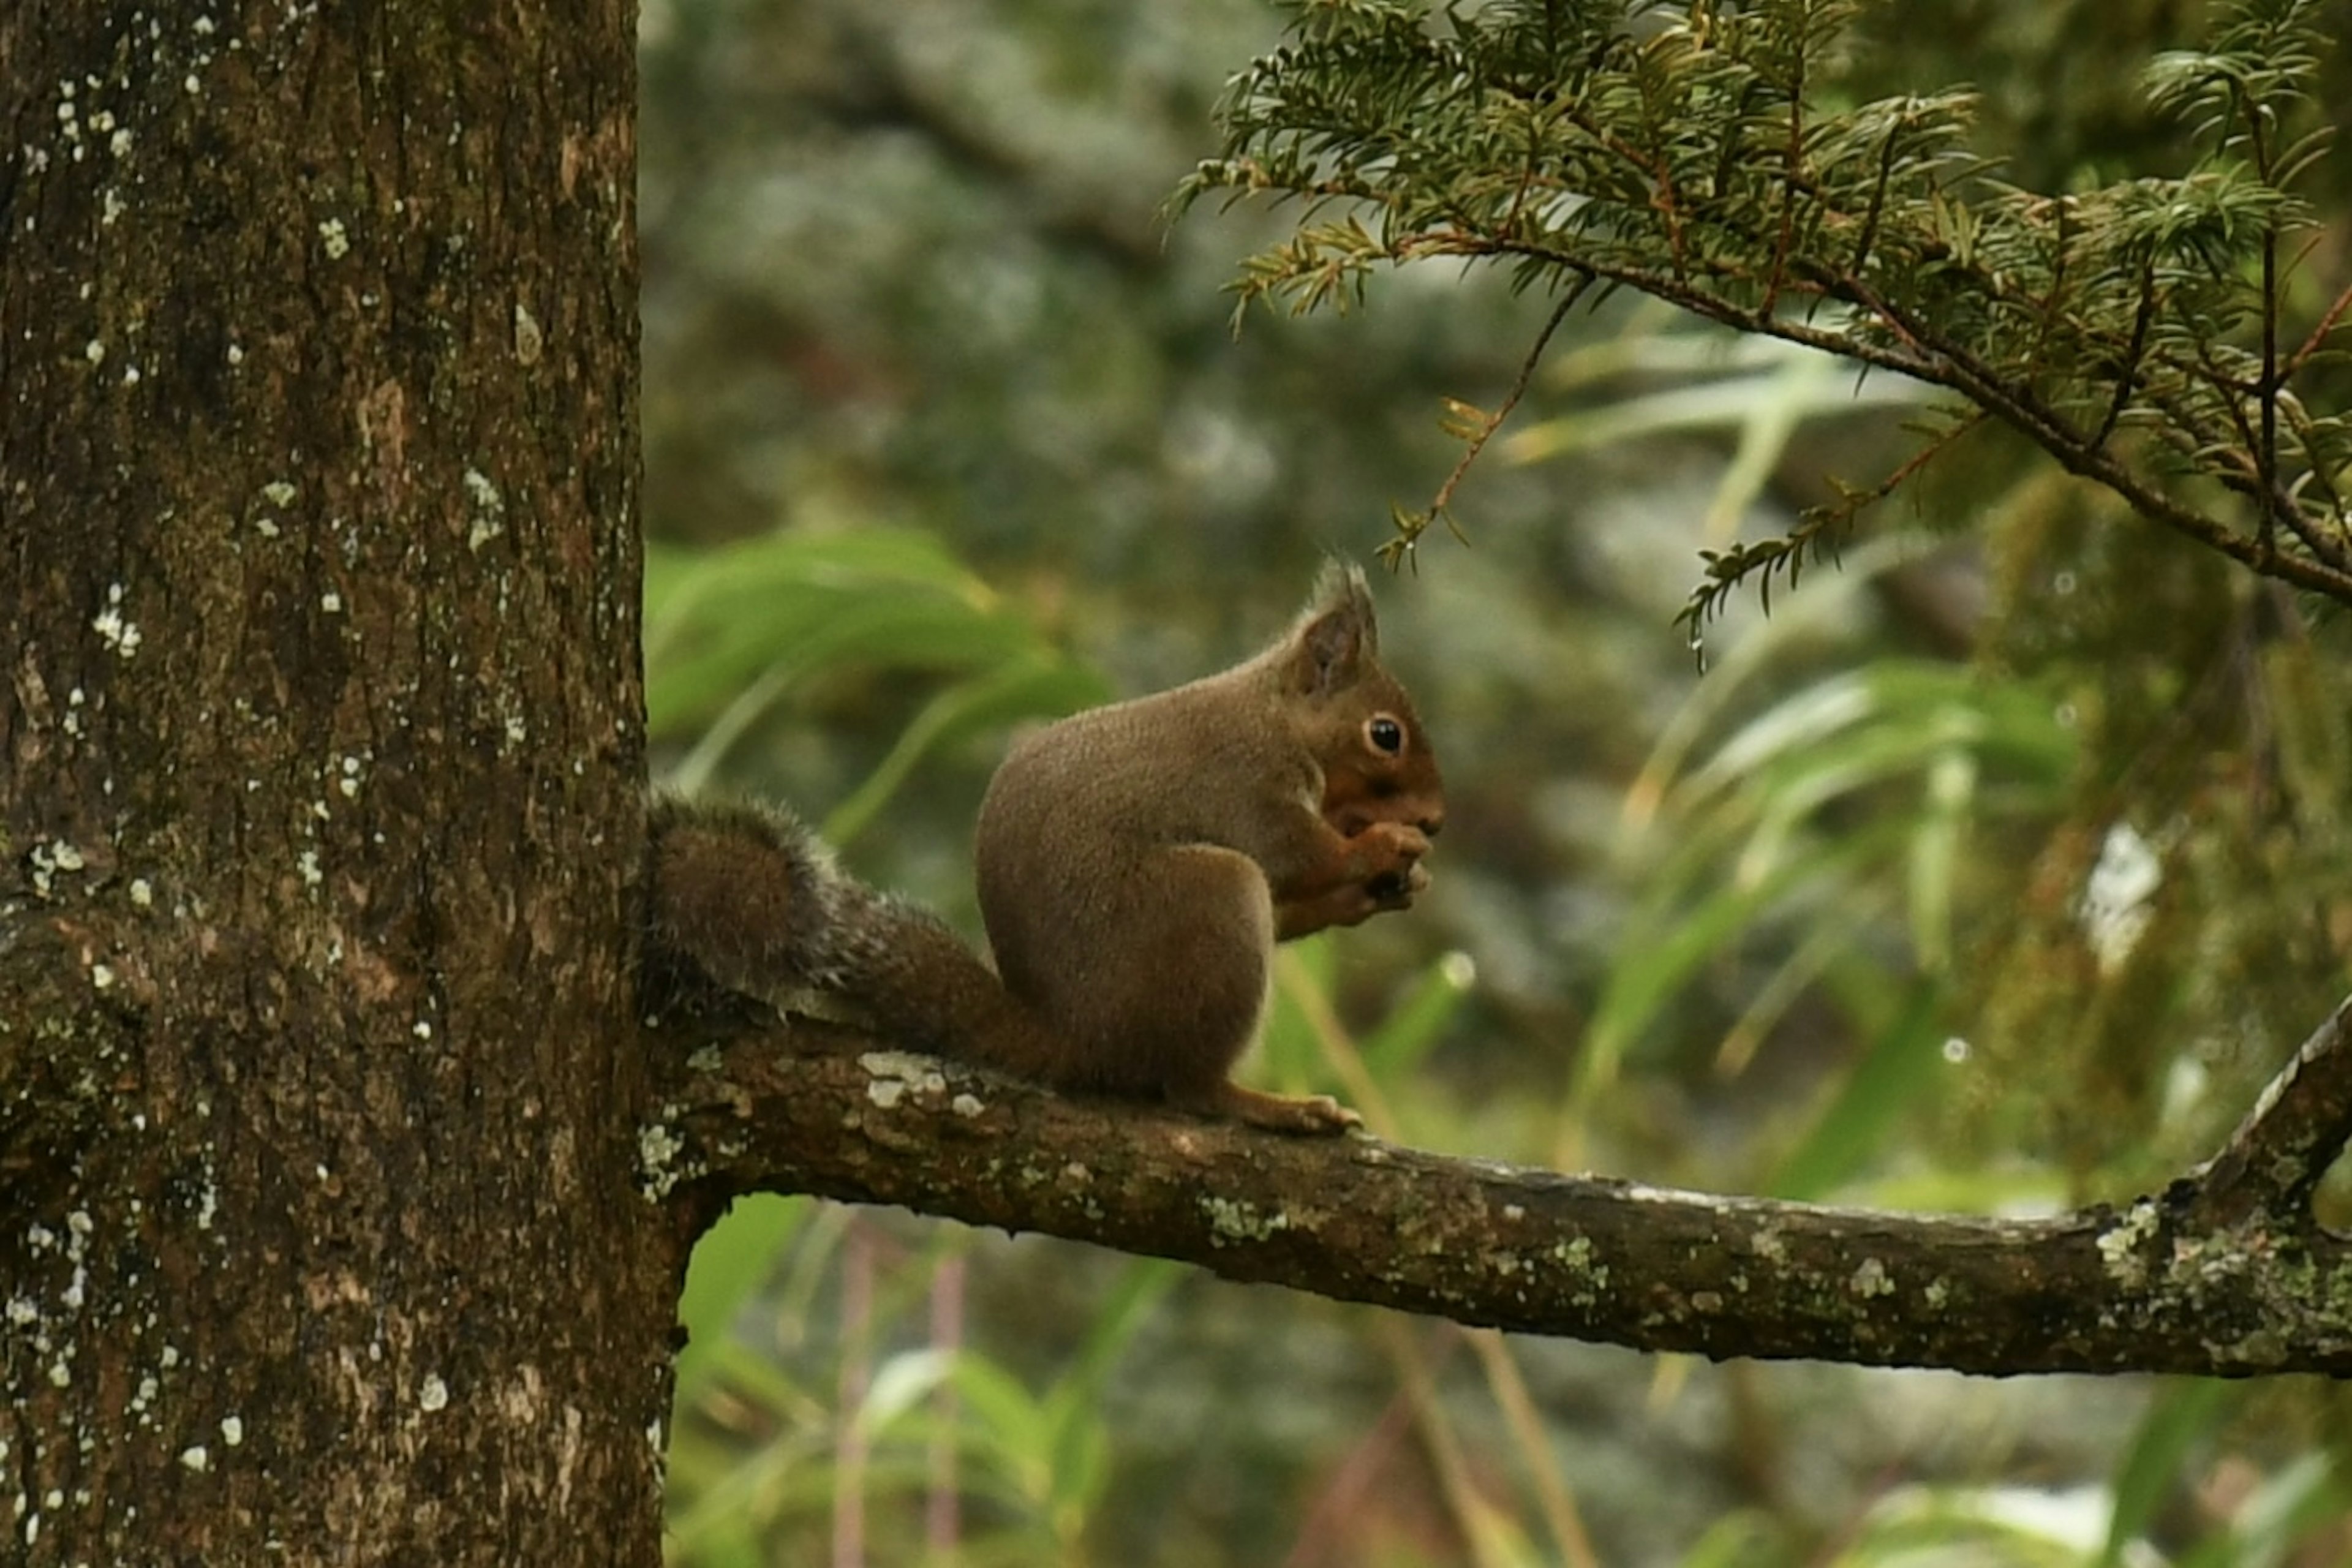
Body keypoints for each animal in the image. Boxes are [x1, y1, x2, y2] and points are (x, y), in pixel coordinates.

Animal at [649, 564, 1449, 1142]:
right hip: (1211, 902)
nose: (1436, 820)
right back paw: (1273, 1106)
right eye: (1385, 734)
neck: (1277, 716)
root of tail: (1078, 1039)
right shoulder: (1251, 791)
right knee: (1189, 1085)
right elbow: (1298, 857)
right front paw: (1383, 846)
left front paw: (1385, 888)